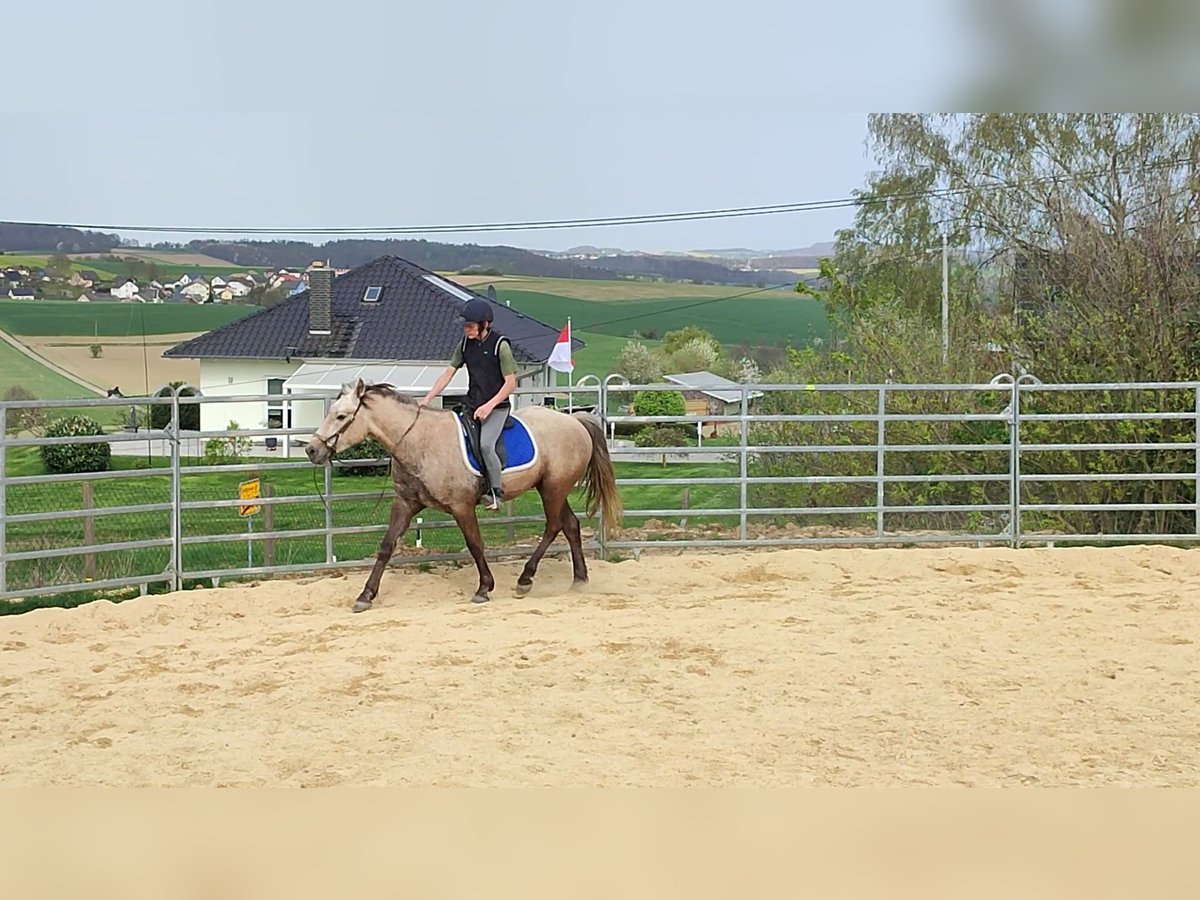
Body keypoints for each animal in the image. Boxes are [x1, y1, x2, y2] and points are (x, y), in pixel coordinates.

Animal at [304, 381, 624, 614]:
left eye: (341, 416)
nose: (312, 450)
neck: (419, 440)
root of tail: (576, 421)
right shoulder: (406, 504)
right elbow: (386, 547)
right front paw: (366, 595)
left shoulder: (462, 507)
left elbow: (475, 544)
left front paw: (484, 588)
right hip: (551, 488)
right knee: (569, 525)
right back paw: (578, 579)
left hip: (553, 489)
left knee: (554, 526)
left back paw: (526, 578)